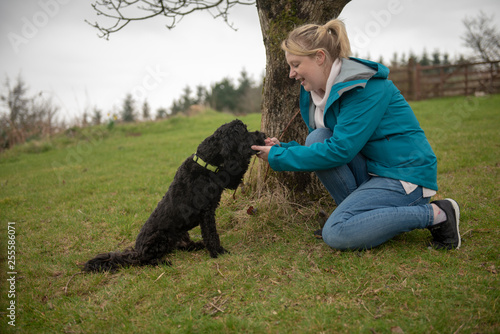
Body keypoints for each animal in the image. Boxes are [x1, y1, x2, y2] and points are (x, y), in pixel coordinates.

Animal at [84, 119, 266, 272]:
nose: (263, 135)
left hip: (180, 233)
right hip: (159, 238)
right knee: (144, 260)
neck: (205, 163)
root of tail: (136, 250)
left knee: (181, 247)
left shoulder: (226, 180)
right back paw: (161, 262)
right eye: (244, 132)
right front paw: (218, 252)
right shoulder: (206, 213)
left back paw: (196, 245)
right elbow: (211, 235)